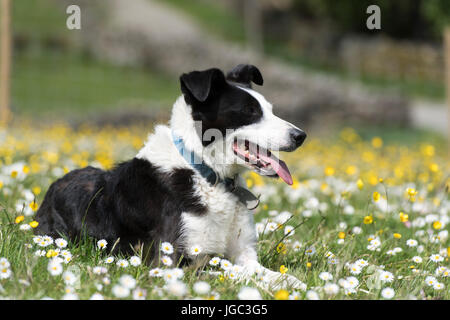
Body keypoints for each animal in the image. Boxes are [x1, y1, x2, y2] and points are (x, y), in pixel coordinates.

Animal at [35, 63, 308, 288]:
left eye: (270, 110)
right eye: (250, 111)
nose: (301, 136)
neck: (207, 174)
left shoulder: (244, 253)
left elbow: (275, 276)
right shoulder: (170, 262)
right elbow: (232, 273)